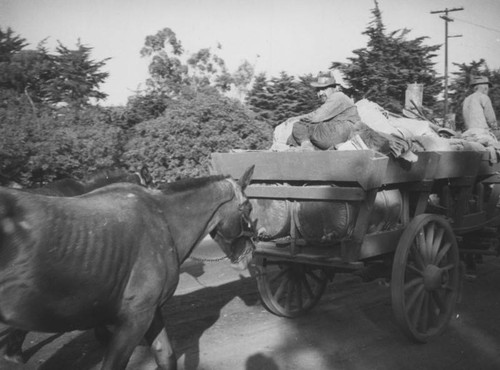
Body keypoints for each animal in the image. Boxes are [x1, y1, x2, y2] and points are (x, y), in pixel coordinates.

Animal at [0, 166, 254, 368]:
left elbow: (166, 356)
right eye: (249, 208)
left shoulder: (150, 312)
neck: (162, 218)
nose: (249, 252)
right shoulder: (135, 319)